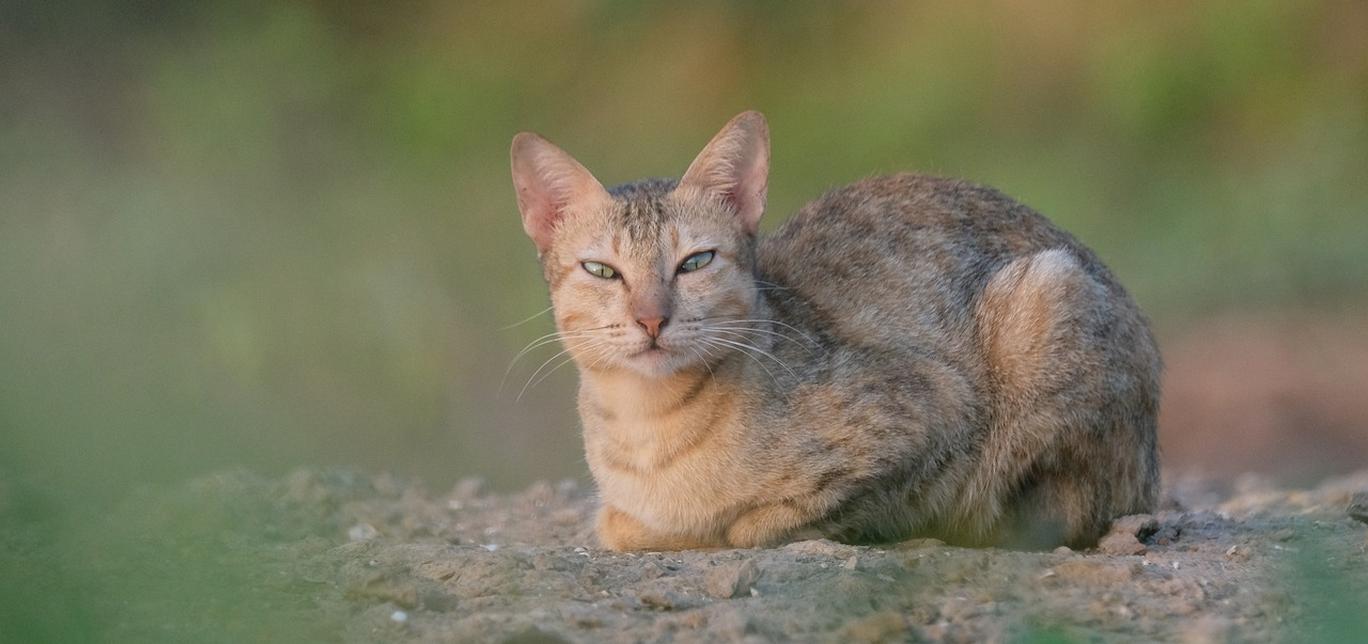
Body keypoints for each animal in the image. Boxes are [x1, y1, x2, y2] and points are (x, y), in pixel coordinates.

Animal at [508, 110, 1160, 549]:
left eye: (695, 262)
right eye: (602, 270)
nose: (651, 316)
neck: (647, 425)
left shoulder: (937, 408)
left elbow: (766, 522)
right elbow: (618, 525)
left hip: (1048, 296)